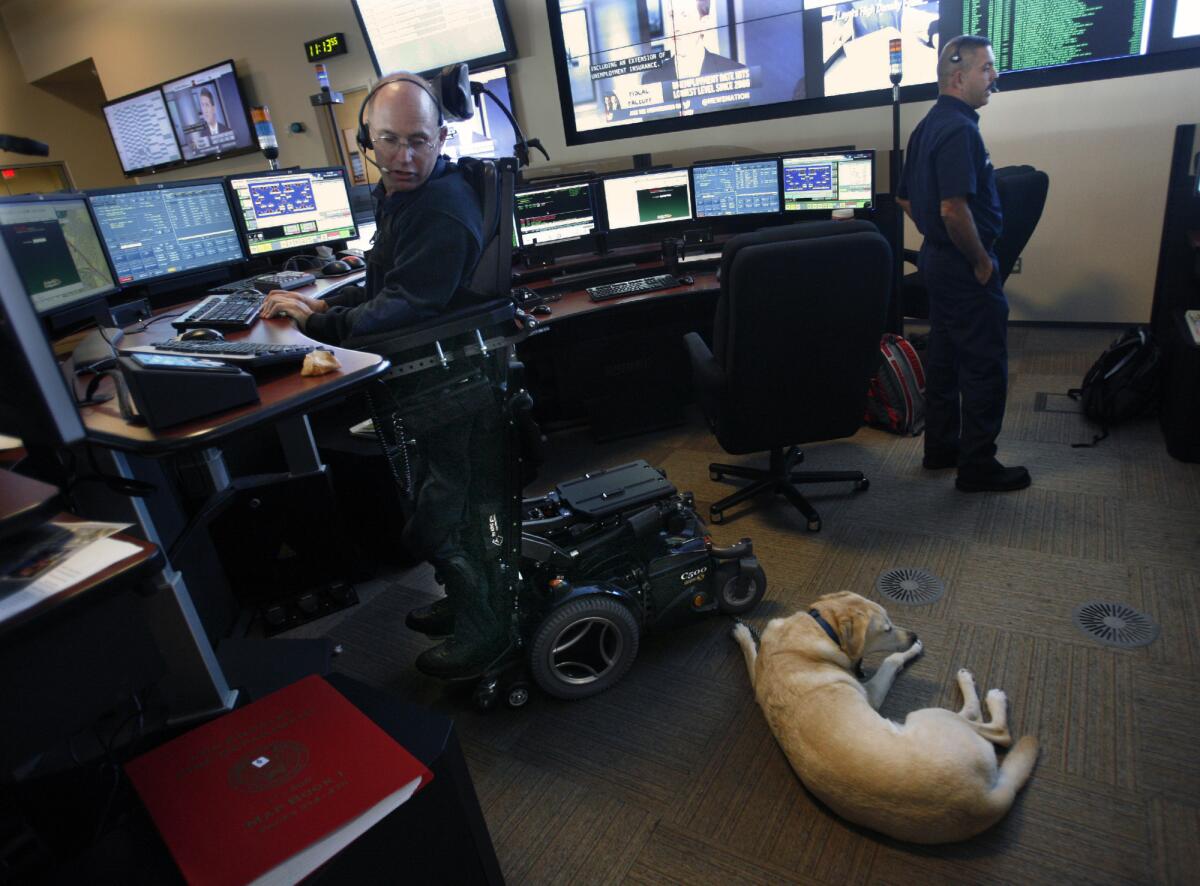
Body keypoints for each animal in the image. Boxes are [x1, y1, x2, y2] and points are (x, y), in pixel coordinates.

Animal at [734, 590, 1036, 840]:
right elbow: (891, 660)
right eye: (887, 628)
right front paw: (912, 649)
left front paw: (742, 633)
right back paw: (983, 691)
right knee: (996, 730)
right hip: (930, 715)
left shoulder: (759, 676)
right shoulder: (873, 694)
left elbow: (753, 656)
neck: (821, 627)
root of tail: (985, 800)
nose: (913, 634)